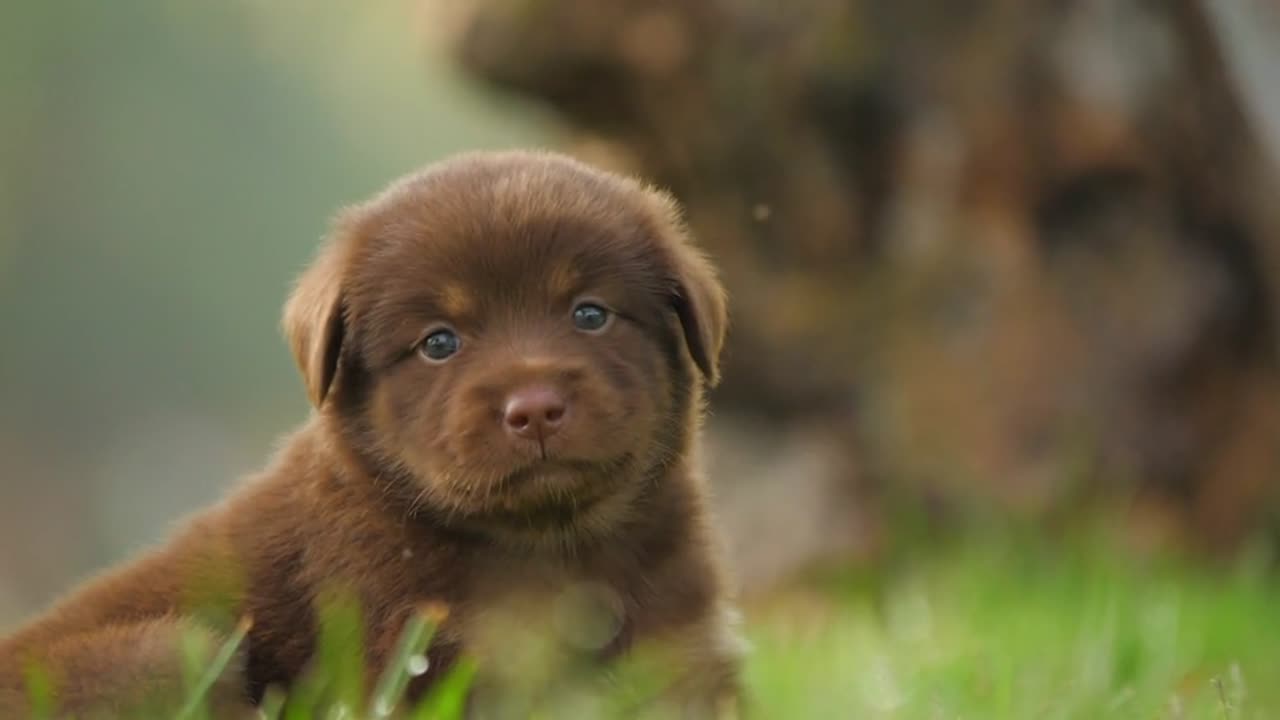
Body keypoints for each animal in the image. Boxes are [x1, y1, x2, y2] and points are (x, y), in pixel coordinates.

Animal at [0, 148, 742, 712]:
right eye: (439, 343)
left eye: (590, 314)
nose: (533, 408)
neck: (544, 545)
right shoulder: (418, 646)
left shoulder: (683, 638)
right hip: (164, 650)